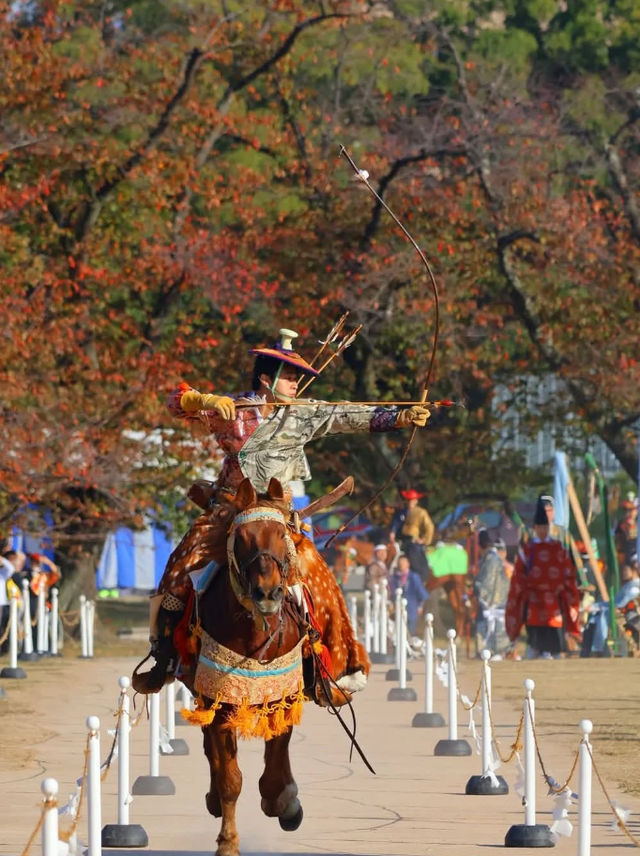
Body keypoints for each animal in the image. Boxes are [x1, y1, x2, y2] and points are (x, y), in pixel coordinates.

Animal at [179, 478, 370, 852]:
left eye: (282, 535)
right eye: (241, 537)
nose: (267, 593)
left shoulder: (284, 694)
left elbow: (277, 752)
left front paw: (283, 803)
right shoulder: (219, 700)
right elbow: (230, 777)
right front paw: (228, 841)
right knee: (212, 750)